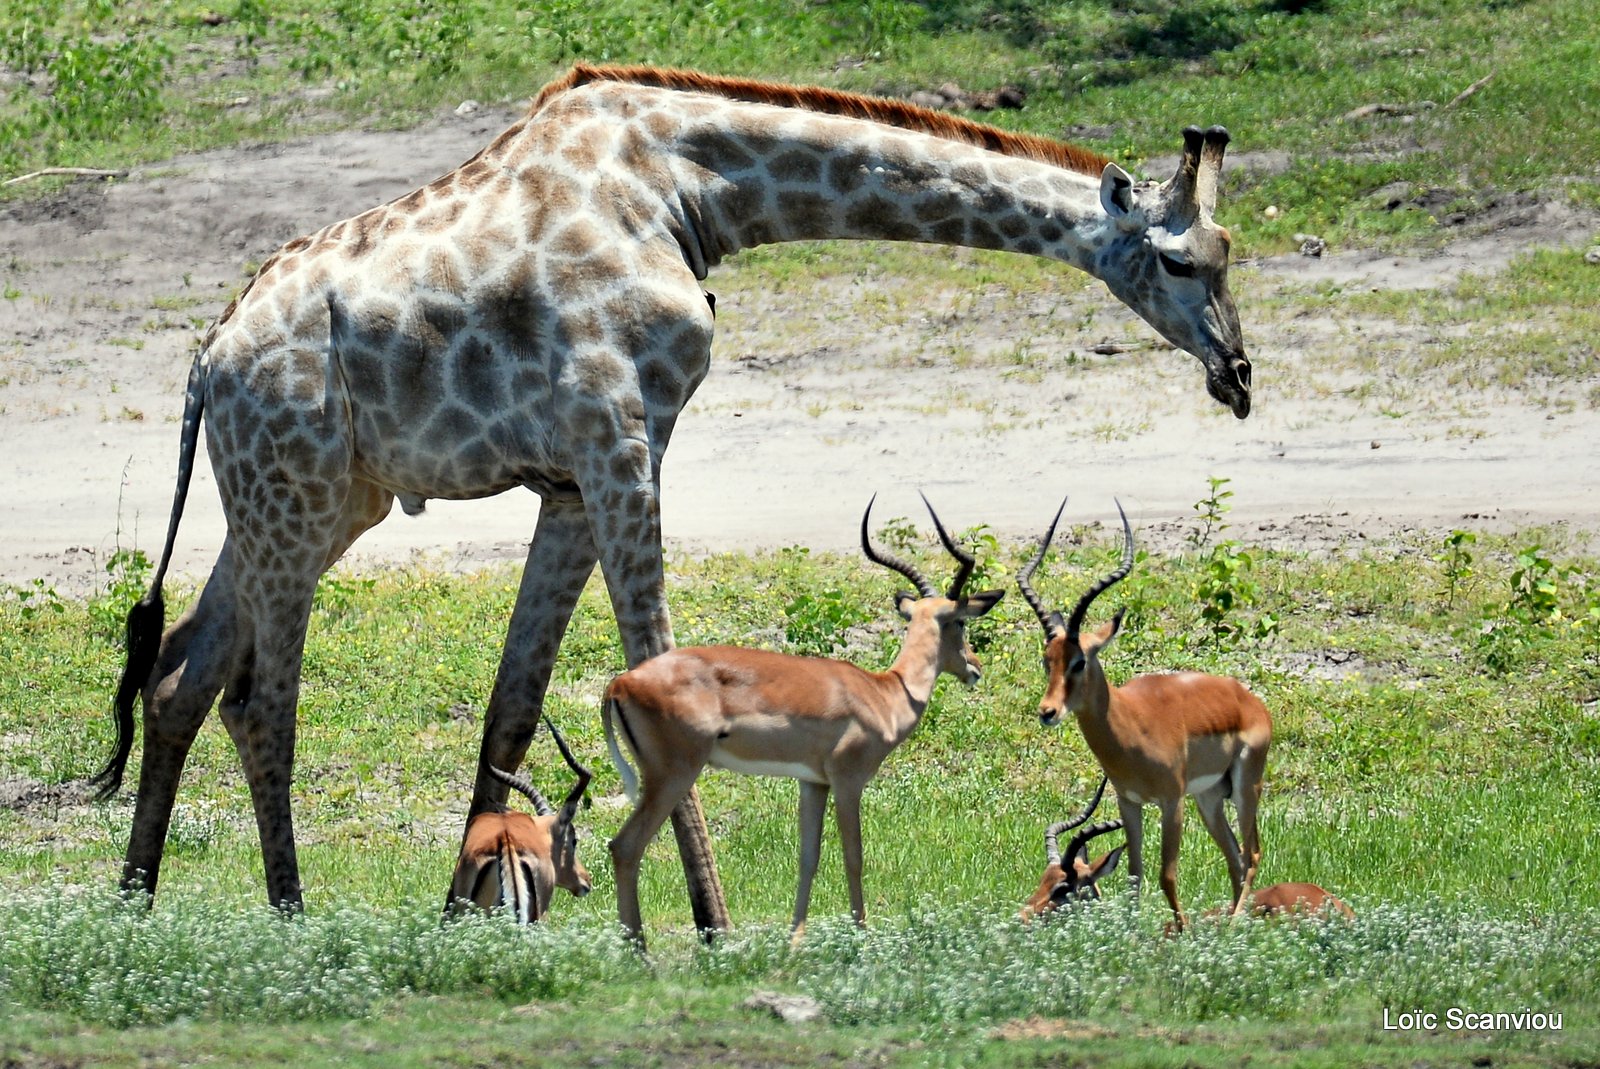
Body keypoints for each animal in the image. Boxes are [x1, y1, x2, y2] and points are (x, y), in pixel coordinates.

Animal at [93, 62, 1248, 928]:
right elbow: (653, 661)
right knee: (260, 700)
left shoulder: (567, 479)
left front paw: (472, 906)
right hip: (293, 492)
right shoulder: (621, 438)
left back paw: (135, 901)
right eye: (1183, 261)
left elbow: (512, 707)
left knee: (179, 670)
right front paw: (711, 920)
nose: (1237, 376)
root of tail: (205, 362)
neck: (685, 189)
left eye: (1225, 253)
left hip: (319, 502)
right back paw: (287, 911)